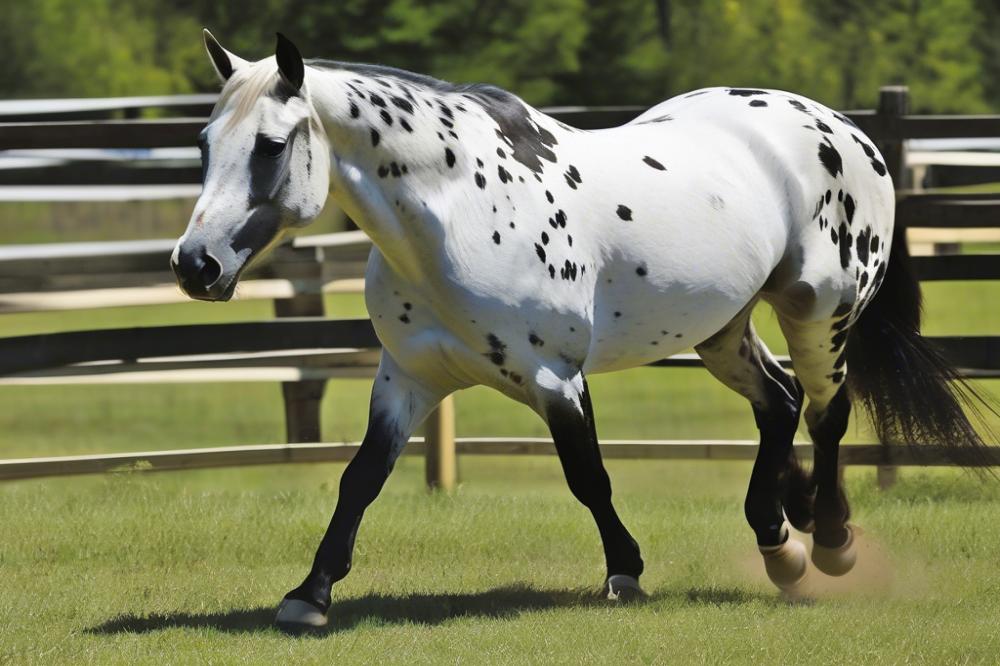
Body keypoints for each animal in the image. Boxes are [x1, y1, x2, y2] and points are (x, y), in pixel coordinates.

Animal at [172, 32, 992, 628]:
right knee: (779, 403)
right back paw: (777, 542)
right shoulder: (406, 378)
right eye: (205, 145)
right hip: (722, 329)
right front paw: (309, 595)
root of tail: (845, 128)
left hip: (820, 312)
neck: (459, 210)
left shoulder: (554, 377)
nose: (195, 265)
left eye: (272, 146)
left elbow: (588, 475)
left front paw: (625, 570)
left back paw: (828, 543)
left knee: (826, 414)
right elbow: (361, 479)